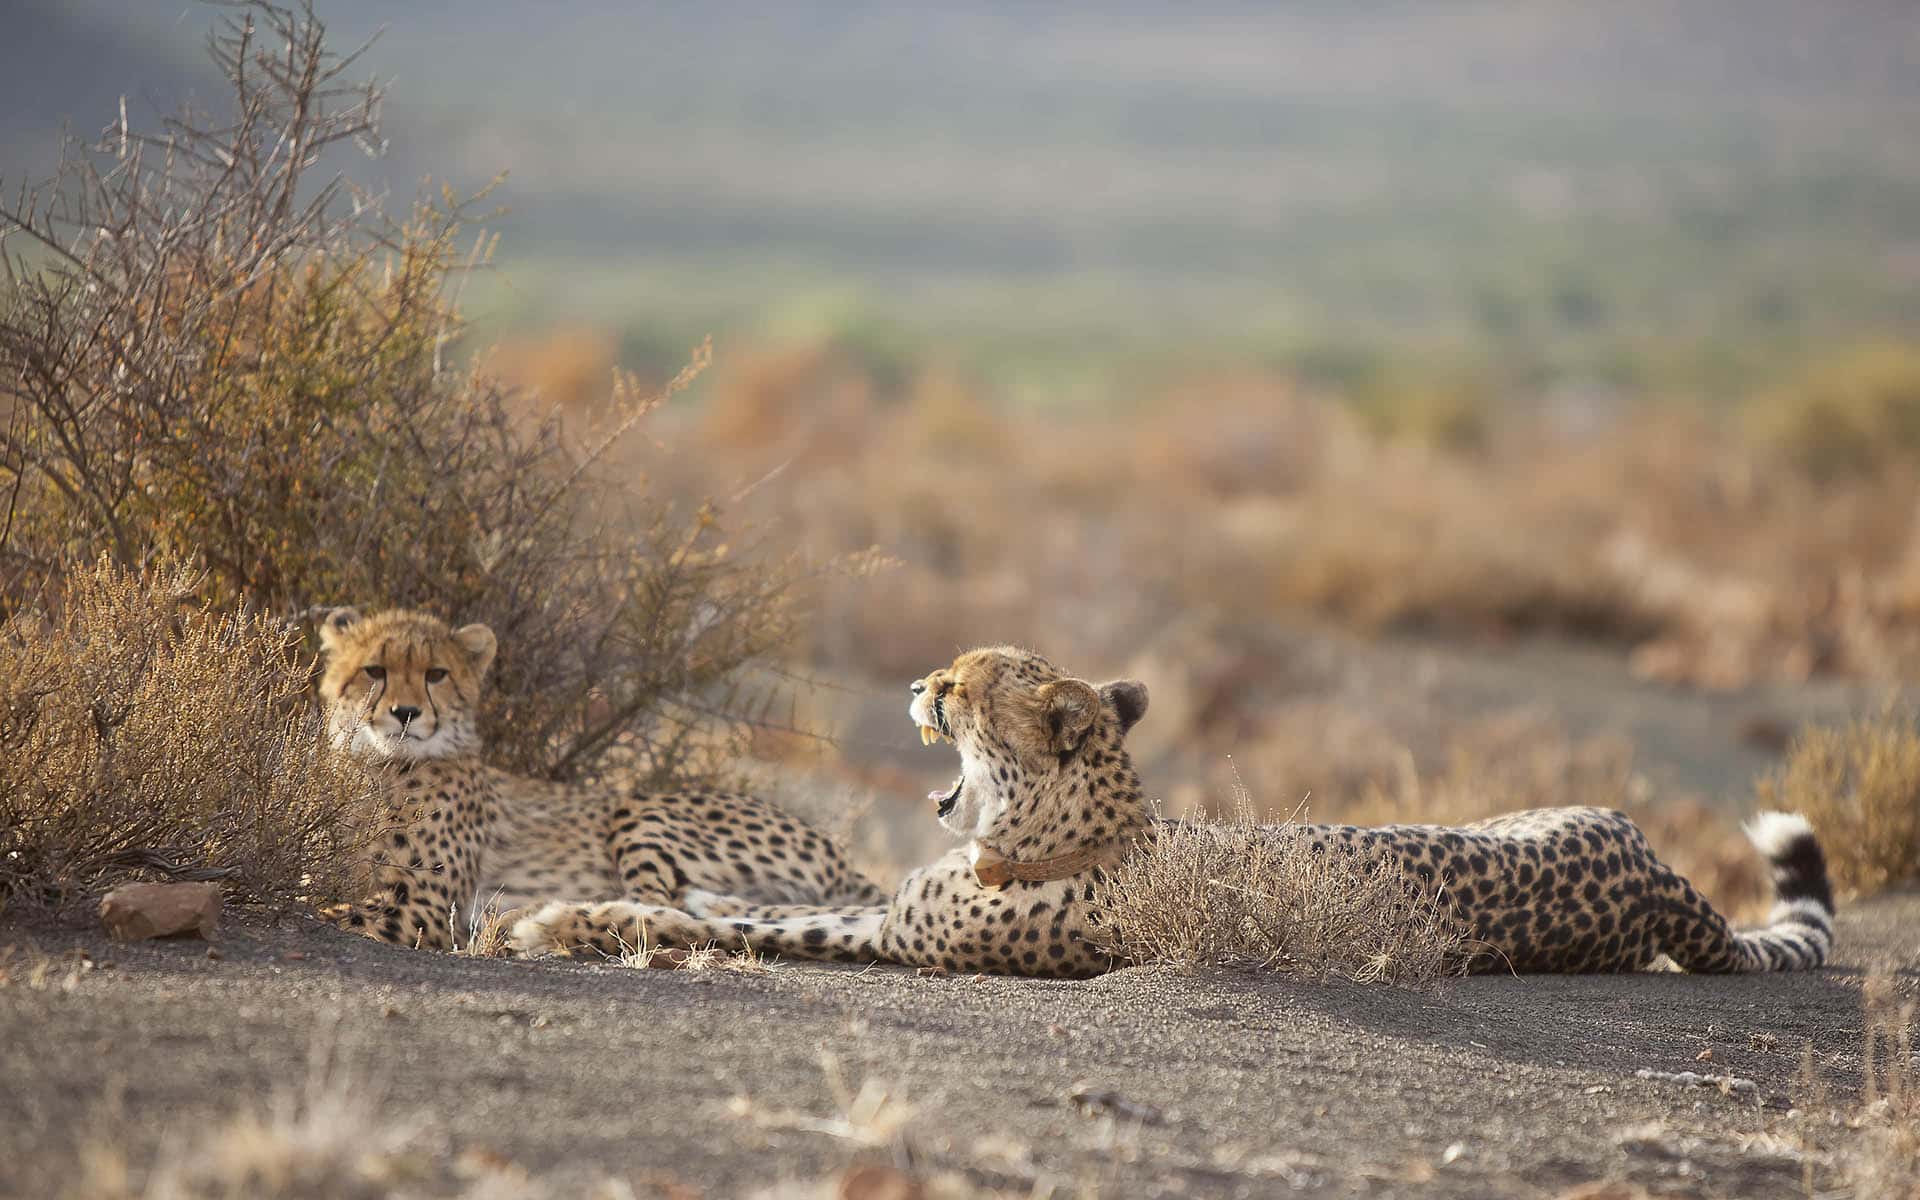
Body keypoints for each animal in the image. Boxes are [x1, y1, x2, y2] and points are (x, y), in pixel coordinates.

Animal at [317, 606, 885, 951]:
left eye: (436, 674)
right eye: (374, 670)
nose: (406, 713)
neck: (381, 766)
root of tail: (839, 856)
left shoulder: (422, 907)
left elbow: (331, 913)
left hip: (640, 812)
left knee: (672, 910)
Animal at [508, 646, 1835, 978]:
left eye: (967, 682)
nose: (919, 685)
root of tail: (1650, 869)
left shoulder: (897, 939)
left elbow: (723, 927)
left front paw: (552, 922)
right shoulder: (886, 908)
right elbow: (722, 908)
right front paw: (591, 905)